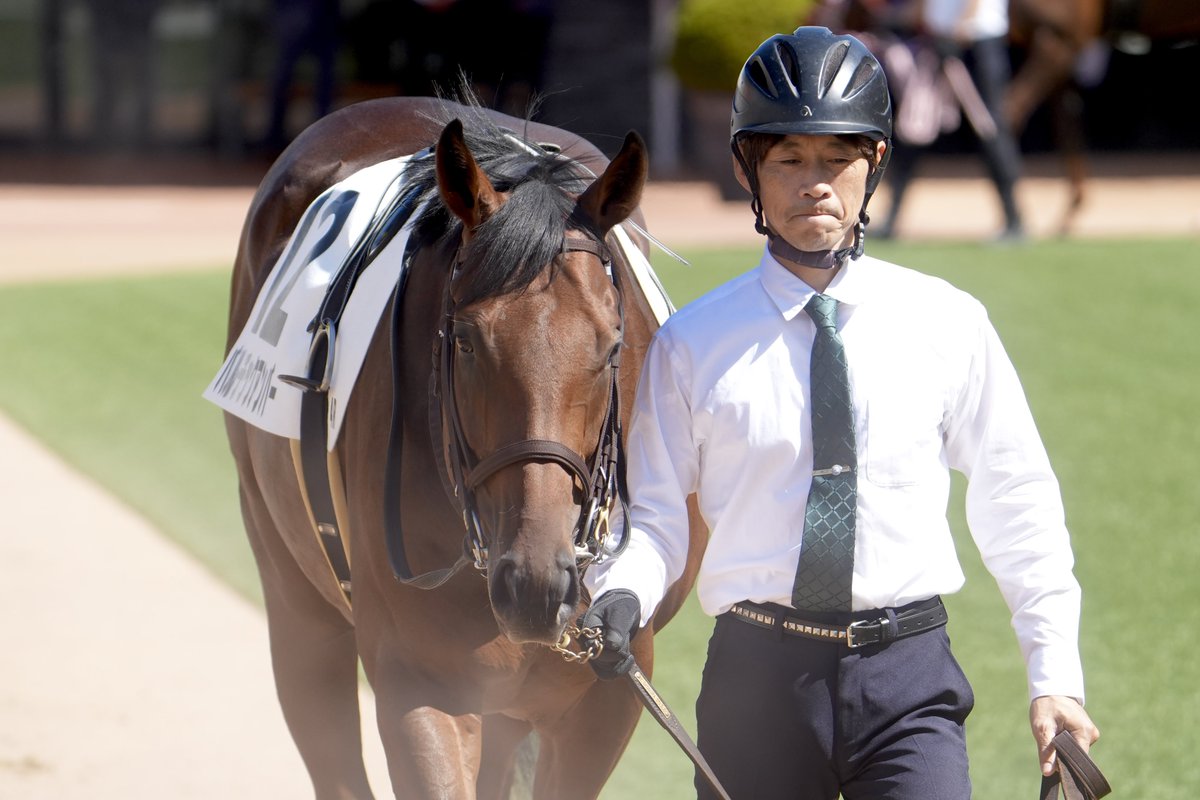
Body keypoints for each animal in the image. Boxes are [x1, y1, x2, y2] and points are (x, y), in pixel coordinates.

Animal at [217, 94, 705, 798]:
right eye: (467, 340)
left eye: (613, 344)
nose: (535, 583)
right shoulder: (421, 682)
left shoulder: (609, 690)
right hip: (293, 598)